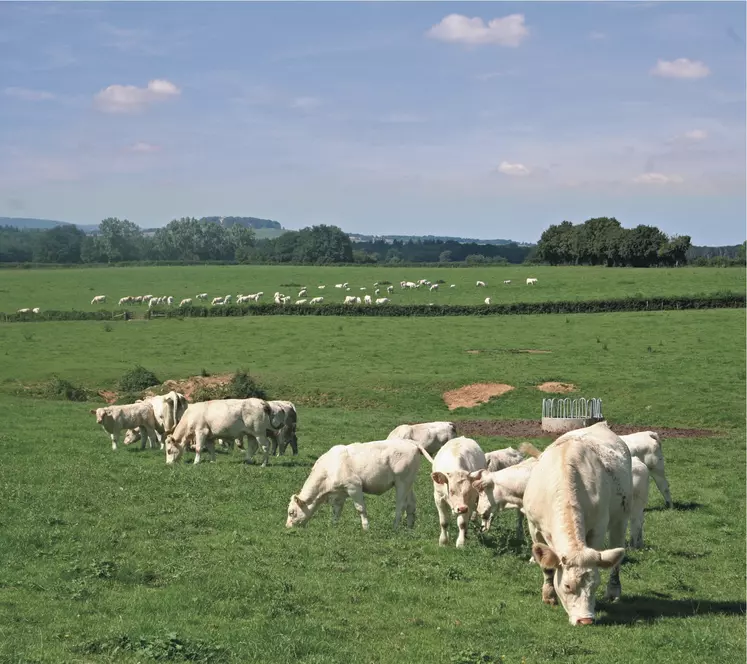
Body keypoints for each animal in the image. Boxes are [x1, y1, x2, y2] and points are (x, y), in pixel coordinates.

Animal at [284, 438, 426, 532]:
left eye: (292, 512)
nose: (288, 527)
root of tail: (410, 442)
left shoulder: (354, 487)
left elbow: (360, 508)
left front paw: (366, 528)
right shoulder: (339, 493)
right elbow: (336, 510)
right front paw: (333, 525)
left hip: (402, 483)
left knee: (401, 505)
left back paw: (395, 527)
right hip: (408, 484)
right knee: (411, 504)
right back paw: (410, 527)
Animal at [524, 422, 636, 624]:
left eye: (595, 585)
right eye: (568, 586)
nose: (586, 620)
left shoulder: (598, 528)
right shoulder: (533, 526)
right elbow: (546, 566)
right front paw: (549, 595)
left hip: (621, 519)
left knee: (616, 558)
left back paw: (614, 590)